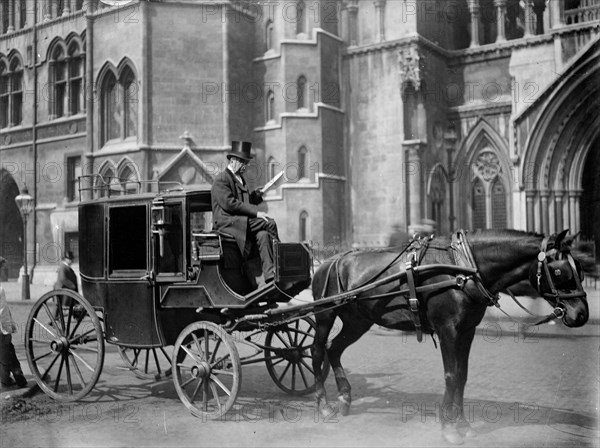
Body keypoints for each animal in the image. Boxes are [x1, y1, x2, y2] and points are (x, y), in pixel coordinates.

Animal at [312, 229, 588, 446]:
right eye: (560, 272)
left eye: (580, 270)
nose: (582, 314)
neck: (463, 269)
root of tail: (330, 261)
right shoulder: (448, 331)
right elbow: (451, 376)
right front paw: (448, 428)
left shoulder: (466, 331)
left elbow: (462, 376)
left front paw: (463, 424)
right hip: (325, 316)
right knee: (317, 350)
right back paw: (323, 405)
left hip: (358, 321)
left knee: (333, 349)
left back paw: (344, 398)